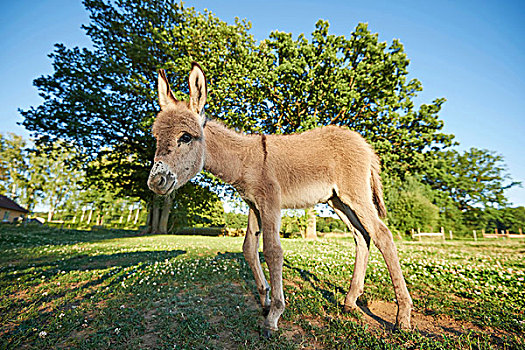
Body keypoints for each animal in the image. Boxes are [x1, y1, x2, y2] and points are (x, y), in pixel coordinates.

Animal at [148, 62, 414, 336]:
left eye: (185, 137)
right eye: (156, 137)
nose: (155, 182)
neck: (245, 159)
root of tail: (364, 144)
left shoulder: (270, 203)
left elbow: (273, 250)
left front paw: (273, 316)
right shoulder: (253, 205)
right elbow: (249, 248)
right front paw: (264, 299)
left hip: (356, 194)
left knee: (382, 234)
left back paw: (403, 318)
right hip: (338, 200)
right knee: (362, 236)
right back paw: (350, 301)